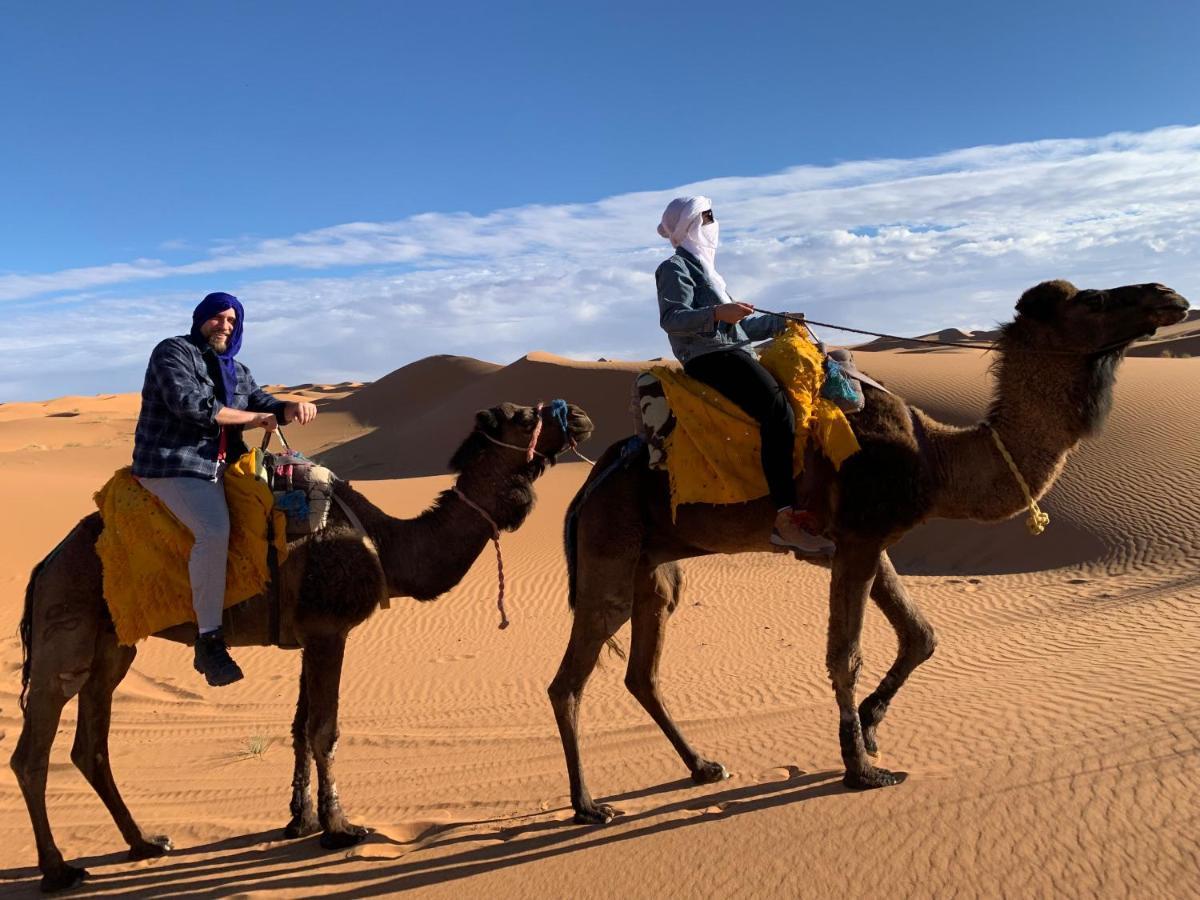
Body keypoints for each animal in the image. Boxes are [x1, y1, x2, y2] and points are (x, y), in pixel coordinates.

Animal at [9, 403, 590, 897]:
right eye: (523, 416)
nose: (581, 418)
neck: (385, 547)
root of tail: (45, 564)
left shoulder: (310, 635)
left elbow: (300, 728)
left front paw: (299, 818)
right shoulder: (331, 629)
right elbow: (324, 729)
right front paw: (339, 827)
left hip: (112, 647)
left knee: (91, 745)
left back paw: (144, 843)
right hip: (66, 633)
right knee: (32, 752)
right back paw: (59, 870)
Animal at [552, 280, 1190, 825]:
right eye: (1092, 299)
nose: (1168, 294)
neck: (934, 460)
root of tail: (591, 483)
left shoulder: (867, 544)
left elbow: (920, 636)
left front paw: (870, 727)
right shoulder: (858, 540)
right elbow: (846, 656)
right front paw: (861, 769)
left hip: (655, 569)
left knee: (643, 672)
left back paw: (703, 766)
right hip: (610, 548)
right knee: (571, 679)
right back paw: (589, 806)